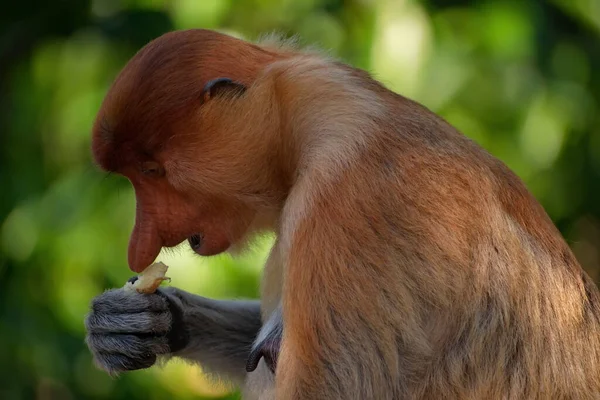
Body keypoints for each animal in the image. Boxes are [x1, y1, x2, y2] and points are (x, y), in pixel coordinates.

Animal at [83, 29, 600, 398]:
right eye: (139, 174)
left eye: (153, 171)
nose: (140, 246)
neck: (316, 121)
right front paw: (130, 322)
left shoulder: (355, 206)